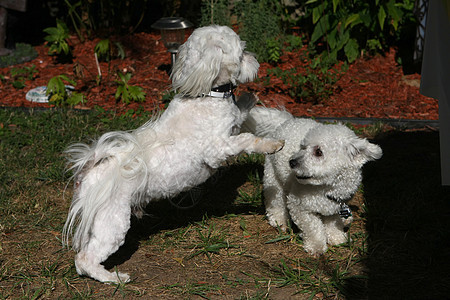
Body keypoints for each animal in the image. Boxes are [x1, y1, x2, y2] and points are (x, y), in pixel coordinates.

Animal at [61, 25, 284, 284]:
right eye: (242, 53)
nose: (255, 59)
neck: (206, 95)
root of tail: (93, 169)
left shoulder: (231, 127)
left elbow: (239, 115)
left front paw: (248, 99)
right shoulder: (217, 149)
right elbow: (247, 139)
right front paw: (271, 144)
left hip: (96, 218)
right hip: (112, 220)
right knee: (85, 258)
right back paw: (114, 278)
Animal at [243, 106, 384, 254]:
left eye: (318, 152)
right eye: (303, 147)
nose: (291, 162)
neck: (326, 188)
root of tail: (286, 121)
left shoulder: (335, 208)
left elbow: (333, 225)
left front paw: (338, 238)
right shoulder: (299, 207)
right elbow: (313, 228)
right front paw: (316, 246)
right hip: (273, 177)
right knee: (275, 201)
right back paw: (278, 220)